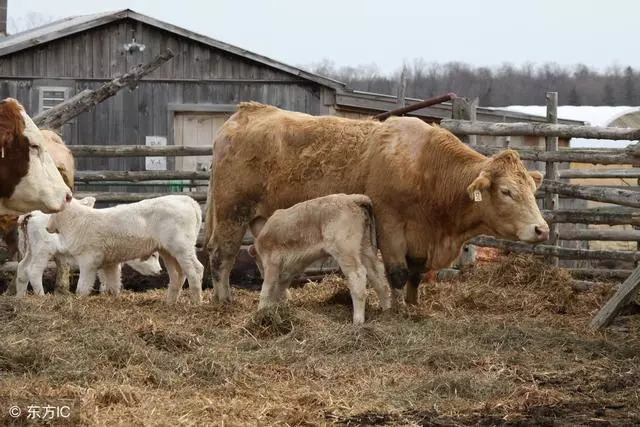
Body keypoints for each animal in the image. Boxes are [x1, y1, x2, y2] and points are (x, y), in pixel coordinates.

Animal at [45, 196, 202, 302]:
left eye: (52, 212)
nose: (46, 227)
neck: (76, 221)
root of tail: (189, 201)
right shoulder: (109, 262)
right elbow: (112, 284)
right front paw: (111, 297)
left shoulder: (88, 260)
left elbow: (83, 285)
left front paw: (79, 298)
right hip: (168, 251)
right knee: (178, 274)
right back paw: (170, 302)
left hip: (182, 247)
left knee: (196, 270)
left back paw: (196, 302)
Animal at [205, 102, 552, 306]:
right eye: (507, 191)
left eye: (531, 190)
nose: (541, 230)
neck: (426, 166)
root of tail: (244, 114)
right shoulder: (391, 223)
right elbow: (398, 272)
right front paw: (395, 308)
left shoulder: (420, 237)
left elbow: (416, 272)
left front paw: (413, 306)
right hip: (231, 211)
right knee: (222, 255)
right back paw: (224, 302)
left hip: (264, 219)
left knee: (263, 258)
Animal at [249, 194, 390, 324]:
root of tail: (353, 198)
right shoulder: (286, 272)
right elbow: (279, 291)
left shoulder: (272, 263)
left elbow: (266, 289)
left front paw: (260, 315)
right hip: (364, 247)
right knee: (377, 273)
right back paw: (386, 310)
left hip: (345, 249)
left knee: (357, 275)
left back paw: (358, 321)